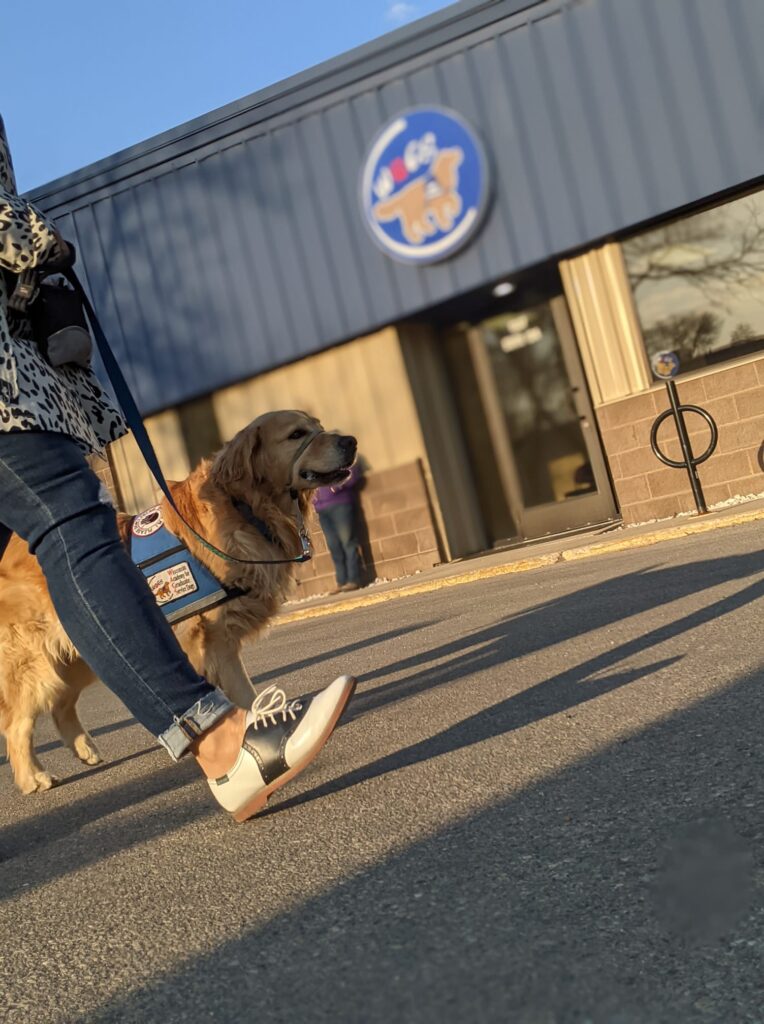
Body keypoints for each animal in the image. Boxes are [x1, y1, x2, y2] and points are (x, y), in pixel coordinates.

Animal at [0, 411, 356, 794]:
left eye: (319, 428)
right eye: (296, 435)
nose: (350, 441)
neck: (246, 509)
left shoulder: (220, 644)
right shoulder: (204, 644)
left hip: (77, 656)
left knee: (61, 706)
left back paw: (86, 751)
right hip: (32, 664)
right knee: (17, 726)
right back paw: (32, 777)